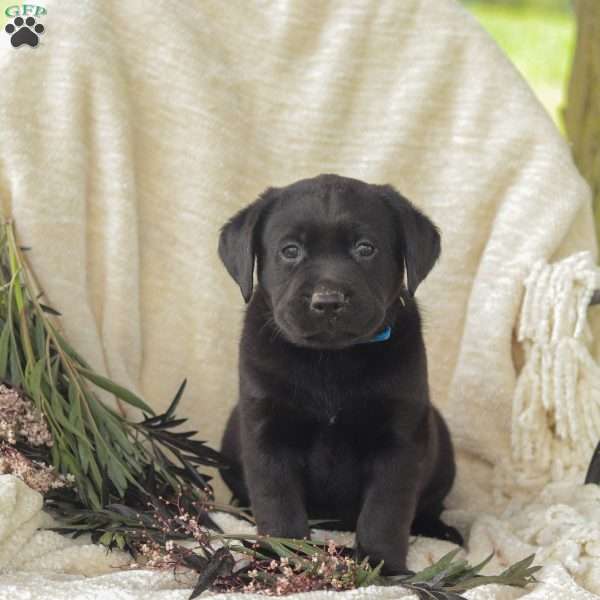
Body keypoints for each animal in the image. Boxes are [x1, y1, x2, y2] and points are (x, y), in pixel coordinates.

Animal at [219, 172, 460, 572]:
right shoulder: (267, 434)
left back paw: (441, 530)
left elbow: (385, 511)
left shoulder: (398, 441)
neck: (330, 362)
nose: (328, 301)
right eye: (290, 250)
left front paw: (382, 567)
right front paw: (282, 558)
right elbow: (277, 505)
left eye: (365, 248)